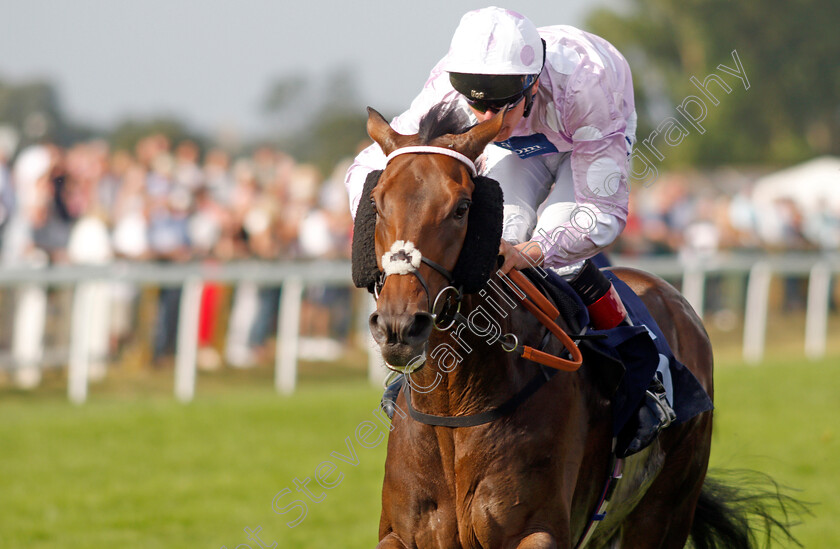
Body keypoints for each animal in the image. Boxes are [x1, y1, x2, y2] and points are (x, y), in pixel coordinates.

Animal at [356, 101, 800, 544]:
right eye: (376, 203)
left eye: (462, 208)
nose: (400, 325)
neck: (454, 407)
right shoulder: (399, 533)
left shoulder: (539, 529)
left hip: (665, 510)